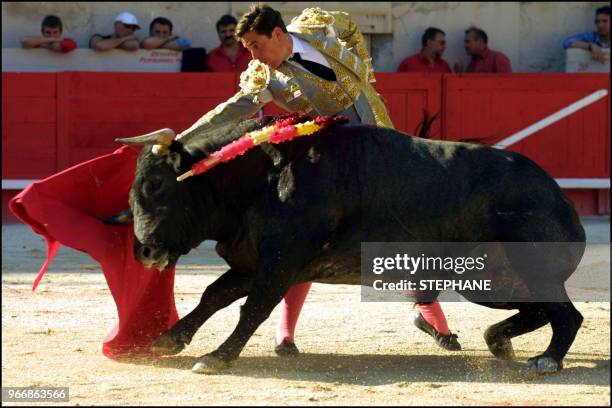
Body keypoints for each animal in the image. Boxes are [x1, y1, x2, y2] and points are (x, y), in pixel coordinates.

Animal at [109, 116, 584, 374]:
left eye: (155, 184)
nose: (144, 252)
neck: (259, 177)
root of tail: (557, 196)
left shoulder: (279, 263)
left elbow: (253, 308)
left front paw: (217, 358)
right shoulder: (251, 263)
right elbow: (214, 295)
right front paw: (168, 340)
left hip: (523, 270)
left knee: (568, 315)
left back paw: (545, 360)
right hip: (489, 282)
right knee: (541, 309)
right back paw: (499, 340)